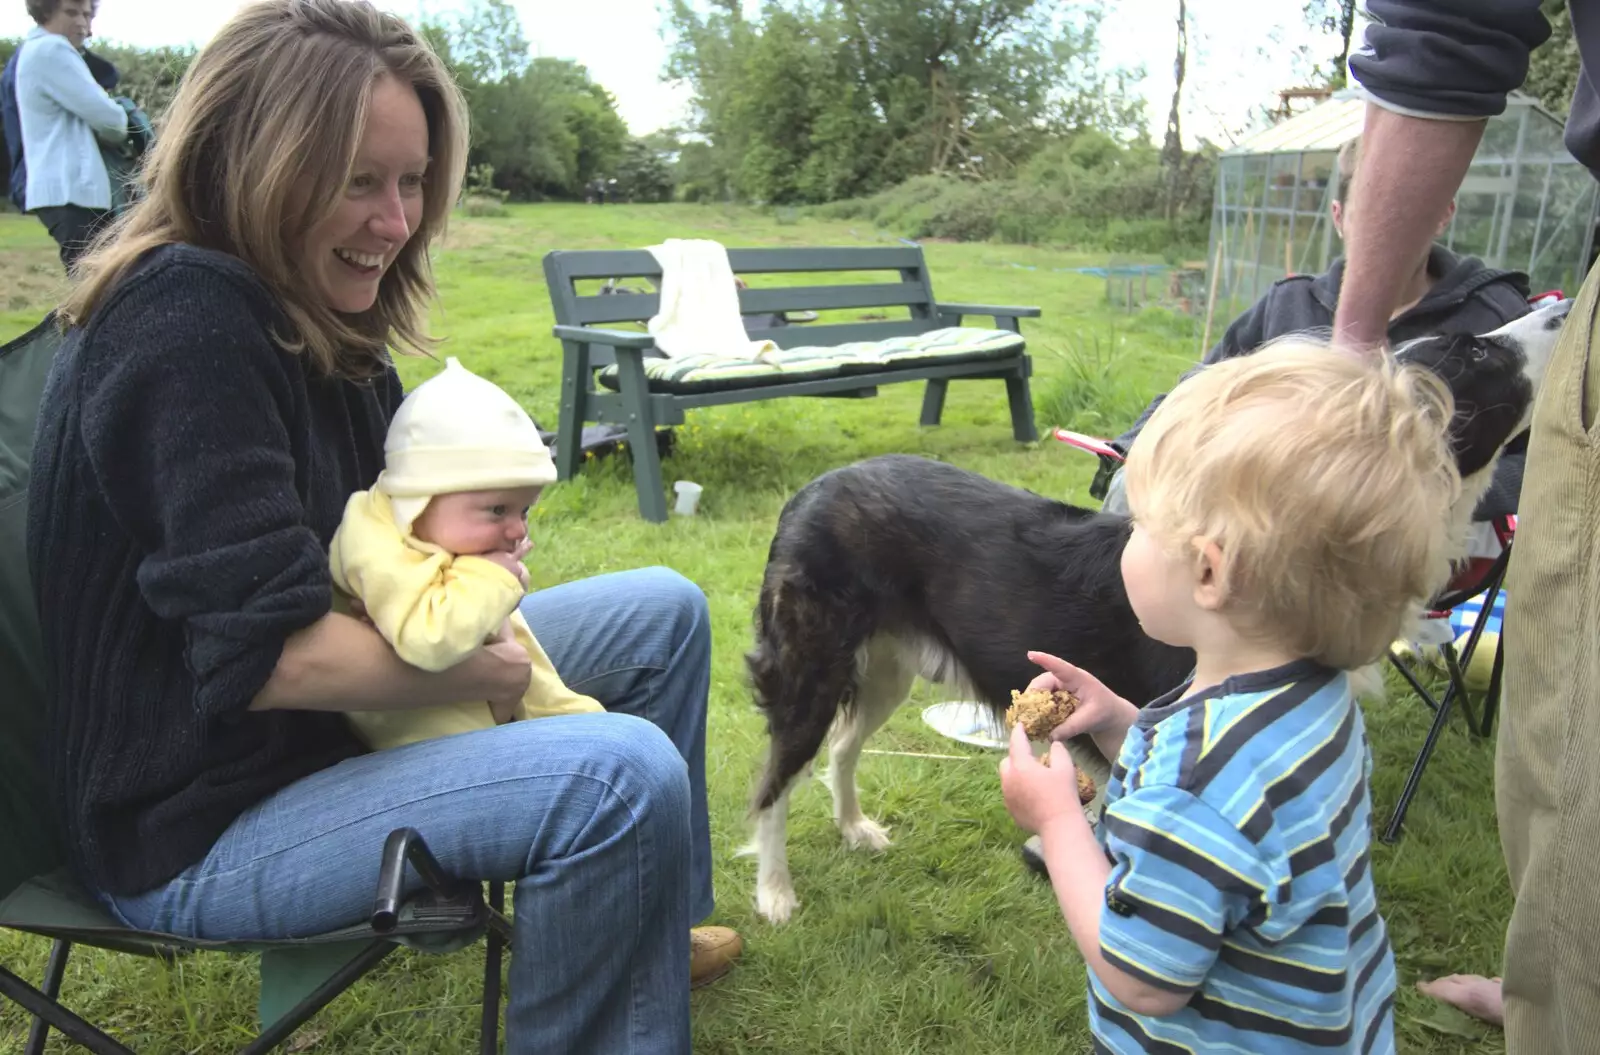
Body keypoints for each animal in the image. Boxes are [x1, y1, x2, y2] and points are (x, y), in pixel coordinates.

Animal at [742, 299, 1568, 922]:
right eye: (1477, 350)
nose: (1563, 308)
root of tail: (812, 487)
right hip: (813, 669)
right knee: (776, 781)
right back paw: (775, 892)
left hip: (885, 669)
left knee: (842, 749)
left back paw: (854, 828)